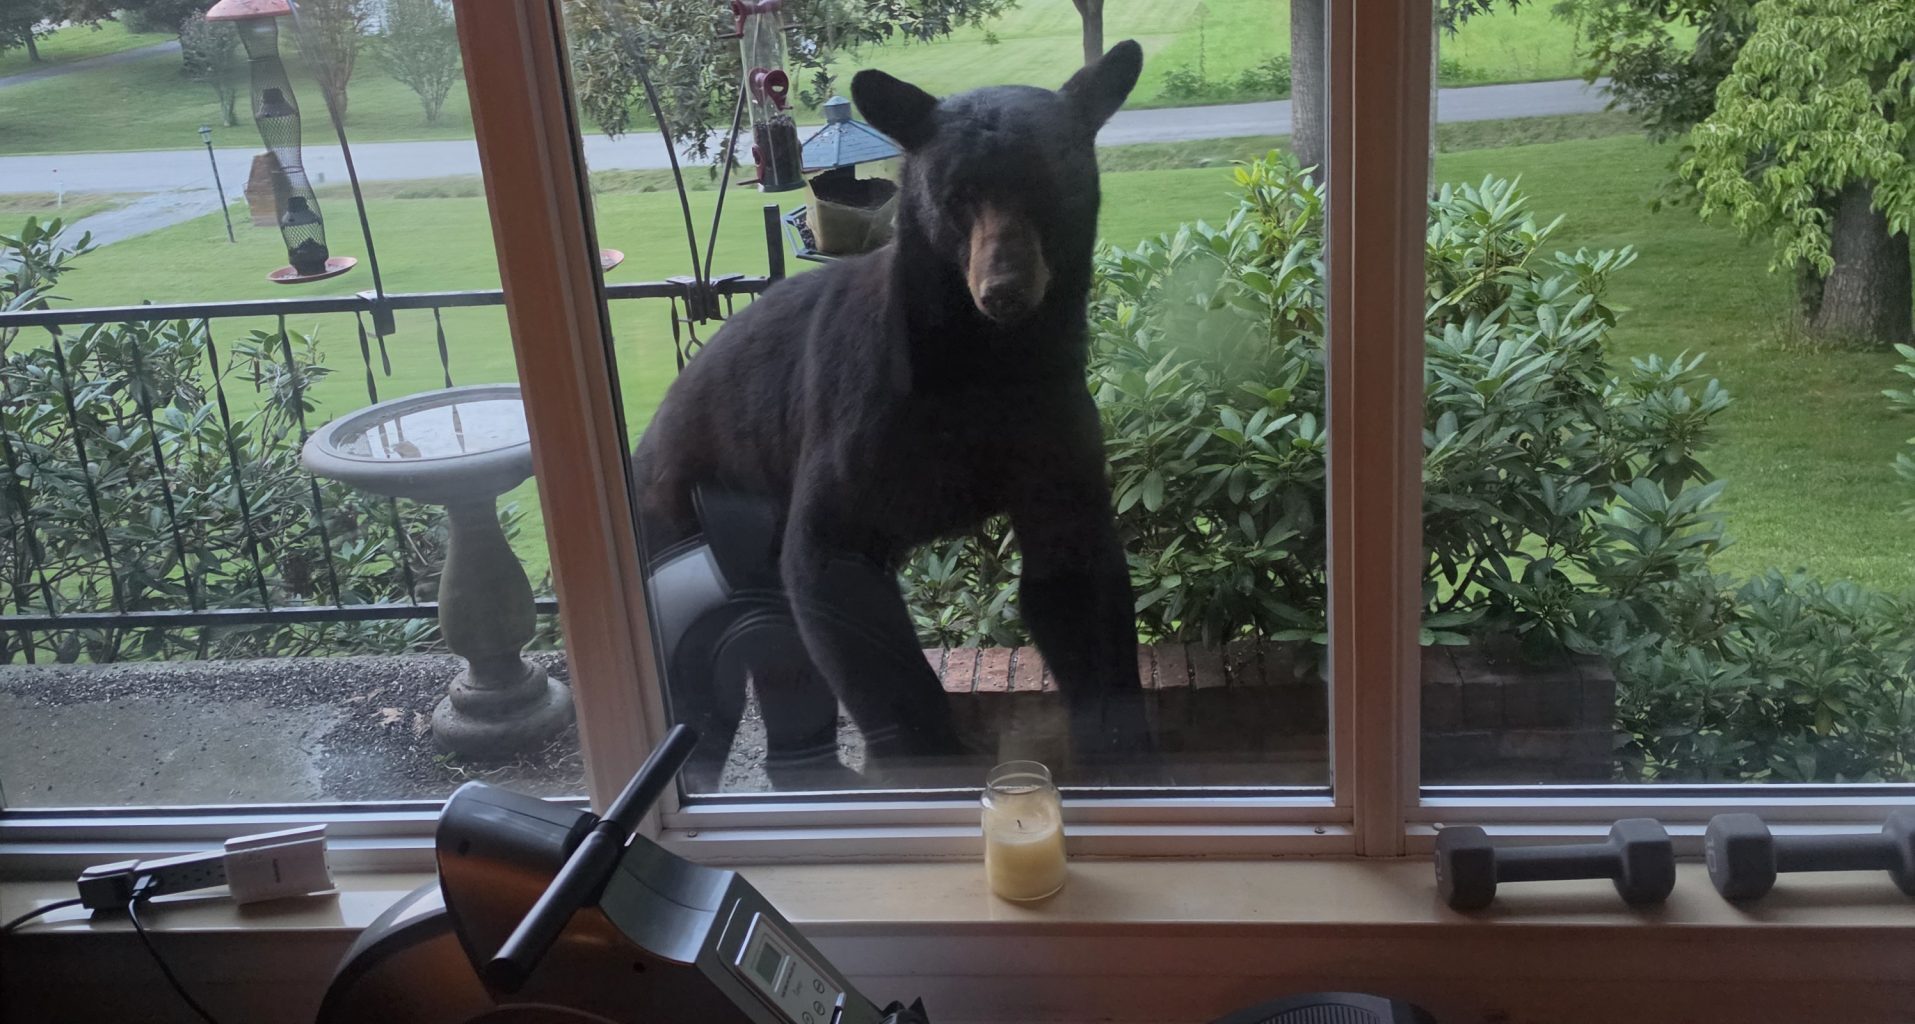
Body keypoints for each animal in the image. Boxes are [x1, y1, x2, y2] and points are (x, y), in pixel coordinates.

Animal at [632, 41, 1153, 786]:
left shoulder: (1051, 426)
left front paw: (1122, 749)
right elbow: (830, 562)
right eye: (955, 196)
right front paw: (932, 753)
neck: (983, 361)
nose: (1003, 289)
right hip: (677, 517)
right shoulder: (864, 411)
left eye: (1048, 185)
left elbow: (1072, 579)